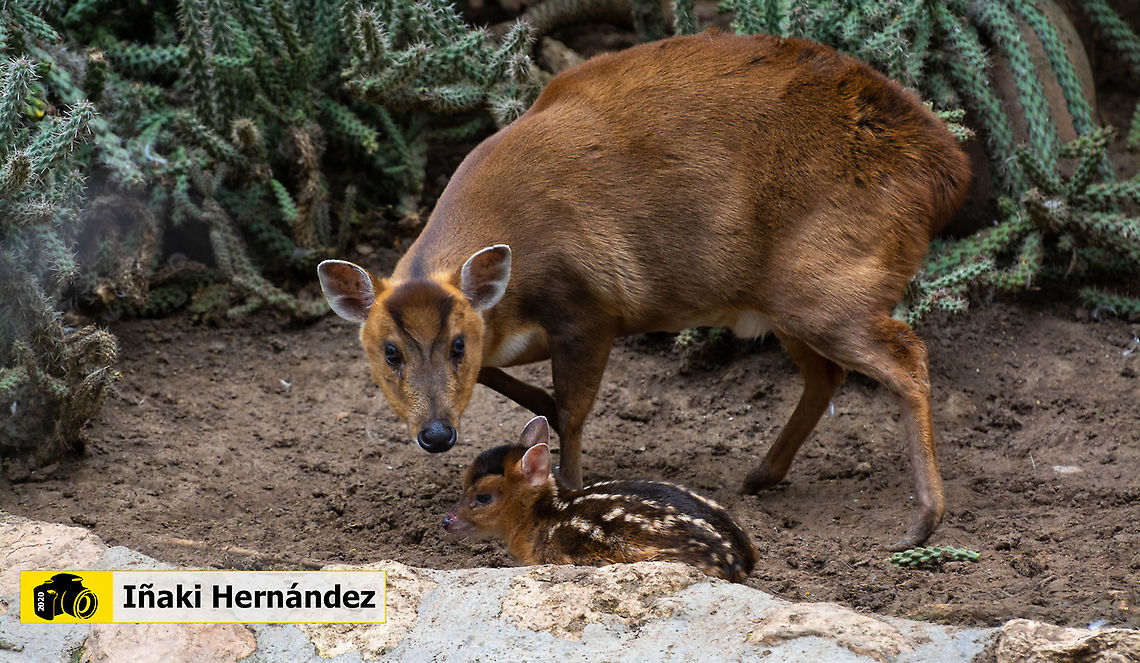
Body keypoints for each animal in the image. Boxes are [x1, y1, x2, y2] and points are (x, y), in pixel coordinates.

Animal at [317, 29, 971, 550]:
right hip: (789, 299)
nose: (436, 434)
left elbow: (573, 411)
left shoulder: (588, 307)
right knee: (827, 375)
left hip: (829, 281)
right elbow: (524, 389)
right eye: (389, 352)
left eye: (456, 344)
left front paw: (567, 488)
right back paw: (760, 476)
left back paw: (922, 522)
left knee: (907, 357)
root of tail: (947, 175)